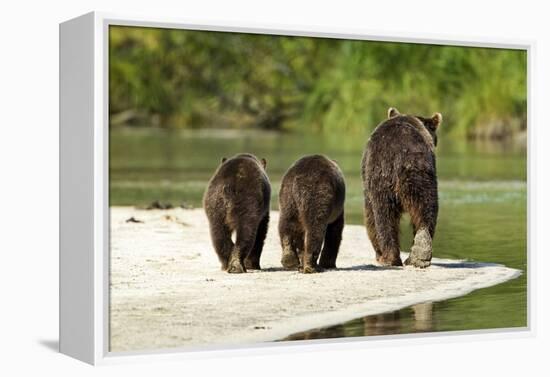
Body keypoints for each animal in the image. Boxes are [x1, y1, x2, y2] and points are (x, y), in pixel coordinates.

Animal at [362, 106, 444, 268]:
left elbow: (370, 217)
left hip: (382, 178)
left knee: (383, 215)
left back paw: (389, 257)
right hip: (421, 176)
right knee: (426, 208)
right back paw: (419, 254)